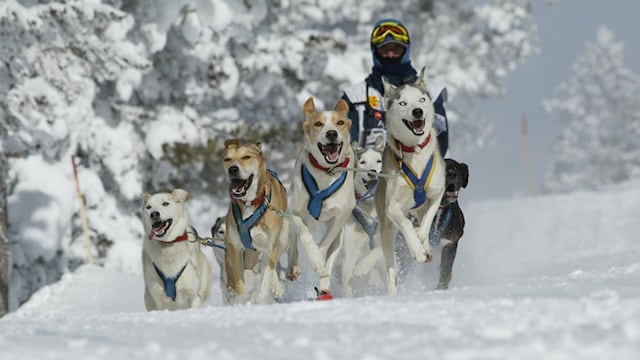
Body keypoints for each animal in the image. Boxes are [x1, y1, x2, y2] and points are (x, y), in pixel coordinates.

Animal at [220, 139, 290, 306]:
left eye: (246, 157)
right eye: (227, 159)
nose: (232, 169)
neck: (250, 203)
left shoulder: (271, 245)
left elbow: (267, 275)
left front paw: (261, 299)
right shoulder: (234, 247)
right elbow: (239, 280)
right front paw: (242, 298)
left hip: (282, 240)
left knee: (272, 263)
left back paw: (276, 288)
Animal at [288, 97, 358, 300]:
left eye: (340, 122)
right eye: (318, 124)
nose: (332, 133)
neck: (325, 173)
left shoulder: (339, 217)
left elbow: (325, 243)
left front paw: (318, 258)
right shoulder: (295, 212)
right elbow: (304, 234)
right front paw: (313, 256)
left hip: (340, 237)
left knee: (330, 259)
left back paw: (324, 287)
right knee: (293, 243)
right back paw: (292, 267)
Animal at [376, 67, 444, 296]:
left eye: (422, 99)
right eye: (402, 103)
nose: (417, 112)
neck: (414, 150)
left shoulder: (437, 194)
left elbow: (425, 226)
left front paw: (422, 243)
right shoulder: (392, 207)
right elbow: (406, 225)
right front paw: (417, 250)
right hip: (386, 230)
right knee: (390, 270)